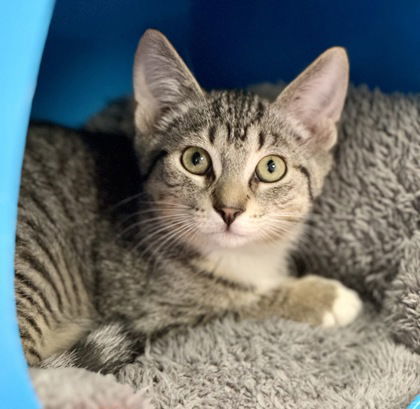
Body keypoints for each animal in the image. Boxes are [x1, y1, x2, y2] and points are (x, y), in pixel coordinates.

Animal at [13, 30, 360, 372]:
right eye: (195, 159)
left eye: (271, 168)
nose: (229, 210)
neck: (241, 258)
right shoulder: (156, 317)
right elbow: (238, 305)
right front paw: (323, 296)